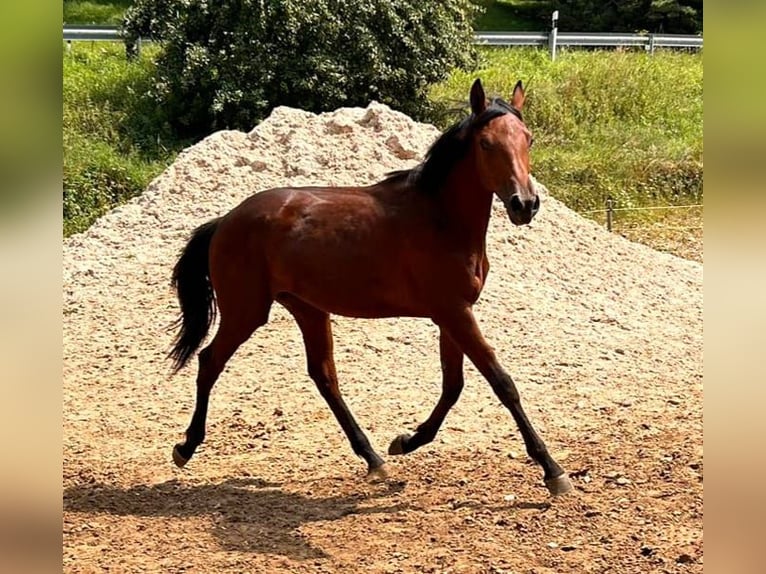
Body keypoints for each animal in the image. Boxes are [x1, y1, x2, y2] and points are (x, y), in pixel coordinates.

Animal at [171, 79, 572, 498]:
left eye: (528, 139)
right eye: (486, 143)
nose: (525, 204)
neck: (441, 219)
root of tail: (226, 220)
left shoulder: (452, 315)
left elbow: (453, 385)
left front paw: (407, 441)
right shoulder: (454, 313)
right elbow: (501, 382)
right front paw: (552, 470)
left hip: (307, 308)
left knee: (324, 376)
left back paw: (374, 459)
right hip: (245, 312)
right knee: (210, 361)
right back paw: (186, 446)